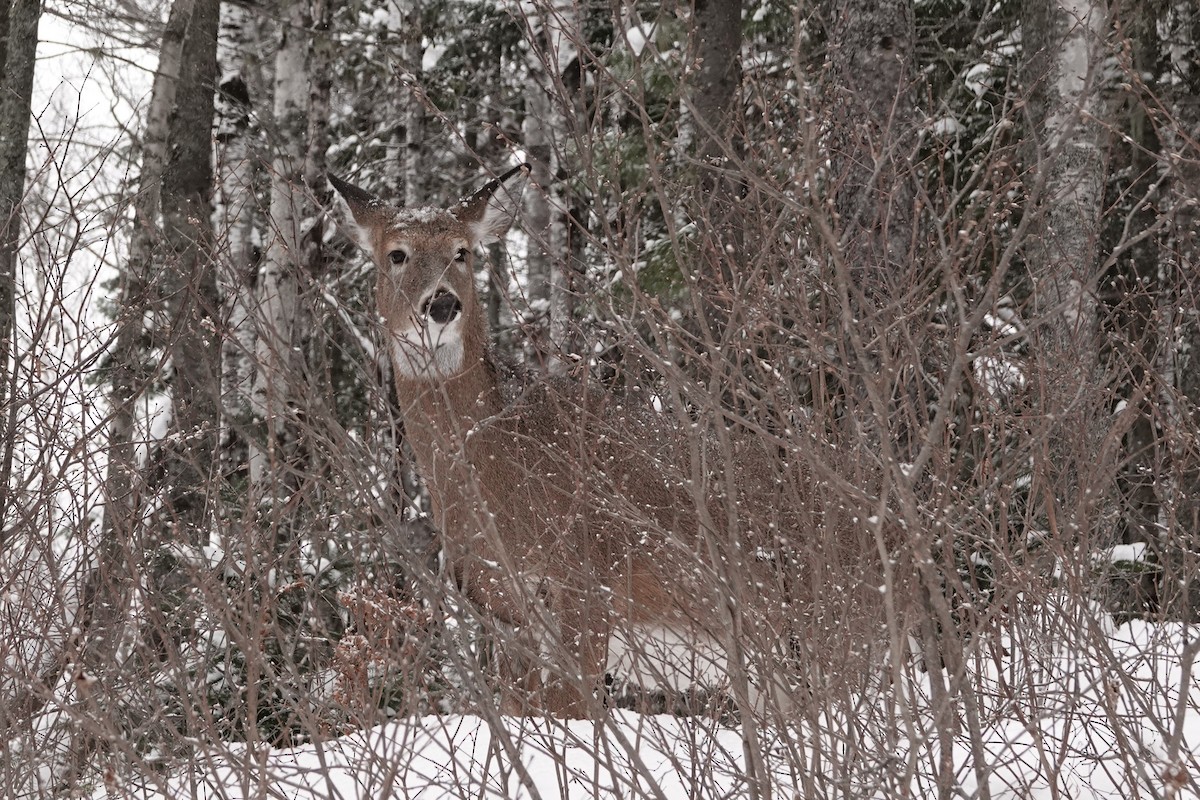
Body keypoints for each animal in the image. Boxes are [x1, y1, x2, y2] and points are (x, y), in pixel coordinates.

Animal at [328, 165, 898, 718]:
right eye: (396, 254)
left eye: (462, 252)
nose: (442, 304)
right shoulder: (503, 614)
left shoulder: (587, 583)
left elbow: (571, 710)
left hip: (842, 630)